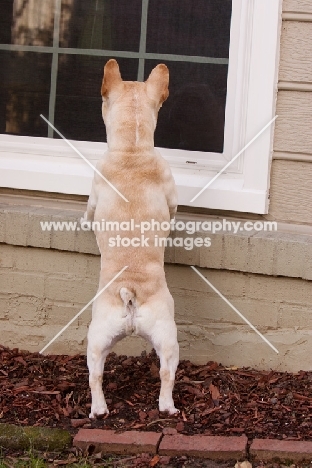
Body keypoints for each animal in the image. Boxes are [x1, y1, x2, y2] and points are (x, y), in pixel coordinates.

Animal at [83, 58, 179, 416]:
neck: (133, 148)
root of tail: (131, 294)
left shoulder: (93, 194)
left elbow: (88, 210)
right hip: (154, 337)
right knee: (163, 372)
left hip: (106, 338)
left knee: (98, 376)